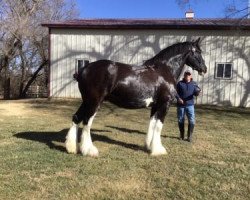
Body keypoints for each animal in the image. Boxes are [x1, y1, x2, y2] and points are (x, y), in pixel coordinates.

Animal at [65, 37, 206, 156]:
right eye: (198, 52)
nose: (204, 69)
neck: (164, 70)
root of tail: (83, 70)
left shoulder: (155, 105)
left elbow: (152, 123)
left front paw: (148, 146)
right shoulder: (164, 104)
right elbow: (158, 126)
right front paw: (158, 150)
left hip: (86, 101)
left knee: (76, 118)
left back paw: (72, 148)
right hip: (94, 102)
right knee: (86, 122)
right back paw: (89, 151)